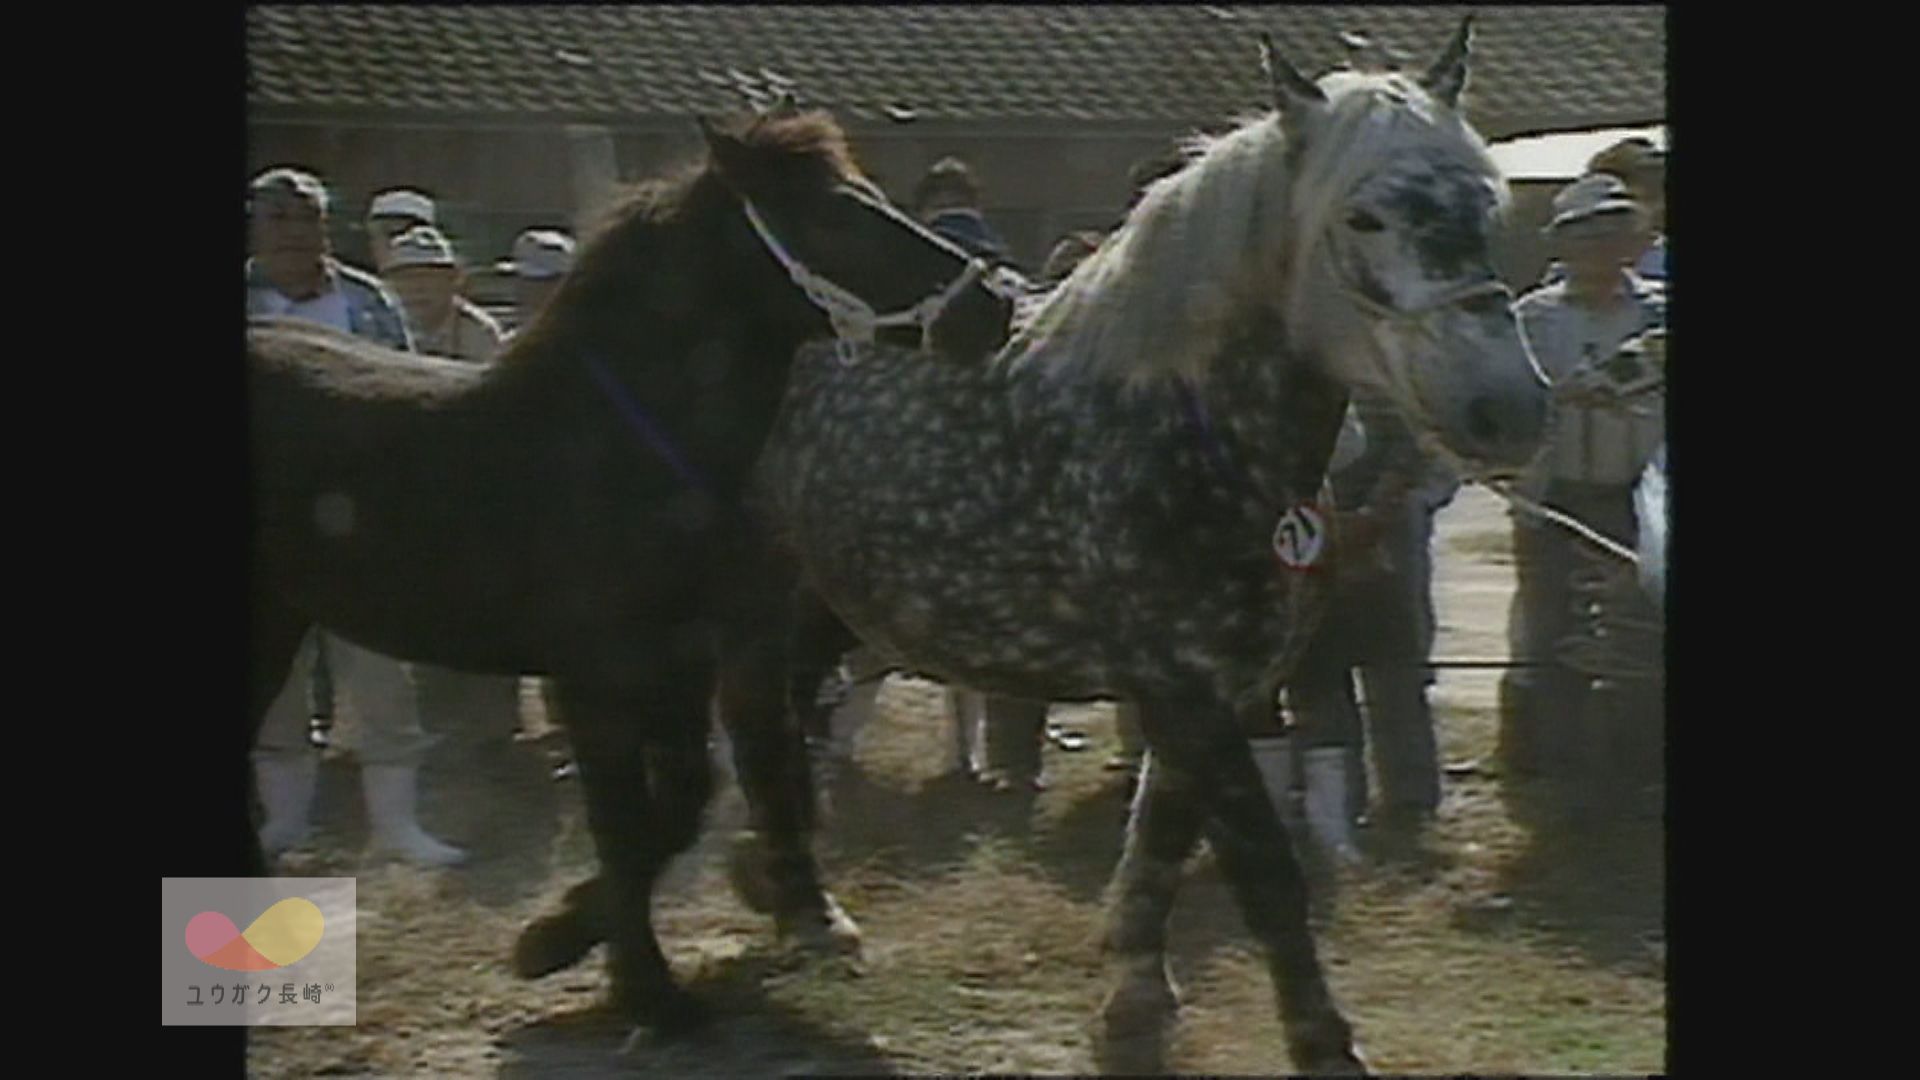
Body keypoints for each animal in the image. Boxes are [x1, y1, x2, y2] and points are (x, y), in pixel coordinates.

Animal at [245, 105, 1015, 1034]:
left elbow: (677, 807)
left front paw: (561, 938)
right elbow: (622, 821)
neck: (616, 452)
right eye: (835, 214)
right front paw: (641, 988)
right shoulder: (597, 682)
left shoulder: (685, 670)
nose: (993, 306)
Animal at [740, 21, 1550, 1073]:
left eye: (1489, 207)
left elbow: (1163, 837)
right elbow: (1263, 870)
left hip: (823, 607)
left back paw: (784, 892)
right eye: (1364, 218)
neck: (1169, 425)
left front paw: (1132, 996)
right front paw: (1323, 1043)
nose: (1509, 410)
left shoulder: (1213, 690)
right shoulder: (1185, 689)